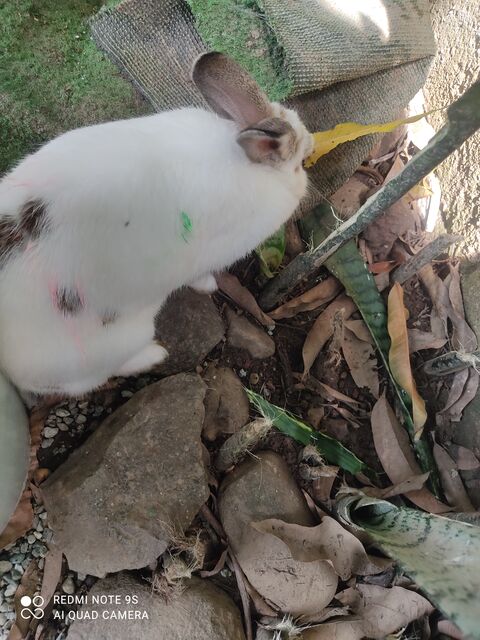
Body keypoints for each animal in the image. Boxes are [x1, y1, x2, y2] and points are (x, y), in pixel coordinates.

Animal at [0, 52, 313, 398]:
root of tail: (13, 369)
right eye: (300, 162)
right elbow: (200, 276)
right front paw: (210, 287)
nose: (313, 148)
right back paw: (154, 354)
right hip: (116, 343)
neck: (249, 162)